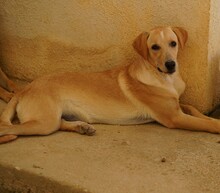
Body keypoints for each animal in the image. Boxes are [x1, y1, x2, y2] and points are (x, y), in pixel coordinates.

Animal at [0, 26, 220, 143]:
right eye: (155, 47)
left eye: (173, 43)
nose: (170, 64)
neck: (165, 79)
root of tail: (25, 89)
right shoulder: (174, 117)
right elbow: (204, 123)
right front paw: (215, 124)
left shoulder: (177, 106)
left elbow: (193, 109)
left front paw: (210, 117)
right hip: (44, 122)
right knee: (7, 128)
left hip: (50, 120)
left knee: (59, 123)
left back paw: (81, 127)